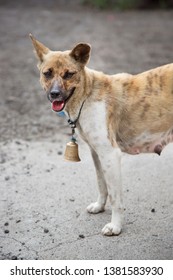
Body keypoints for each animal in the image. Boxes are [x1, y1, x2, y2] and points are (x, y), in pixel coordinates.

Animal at [29, 34, 173, 235]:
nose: (55, 94)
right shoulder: (97, 153)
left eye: (69, 74)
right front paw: (99, 206)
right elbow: (101, 184)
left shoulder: (110, 155)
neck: (87, 94)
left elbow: (115, 197)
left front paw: (115, 226)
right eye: (47, 73)